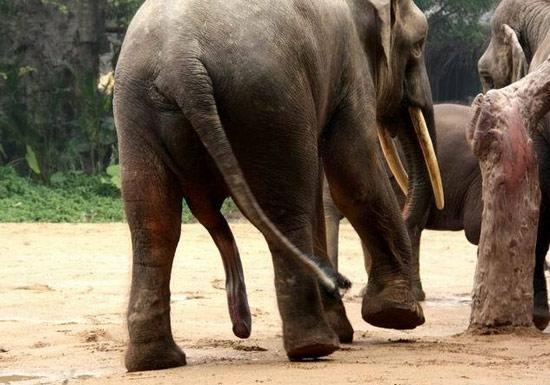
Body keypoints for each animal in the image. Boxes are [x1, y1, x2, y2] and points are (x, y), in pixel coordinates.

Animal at [113, 0, 444, 372]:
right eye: (418, 45)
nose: (342, 282)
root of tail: (182, 61)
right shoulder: (350, 65)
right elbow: (353, 173)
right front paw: (398, 315)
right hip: (267, 99)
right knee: (286, 209)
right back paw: (314, 346)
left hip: (137, 107)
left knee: (154, 224)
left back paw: (156, 361)